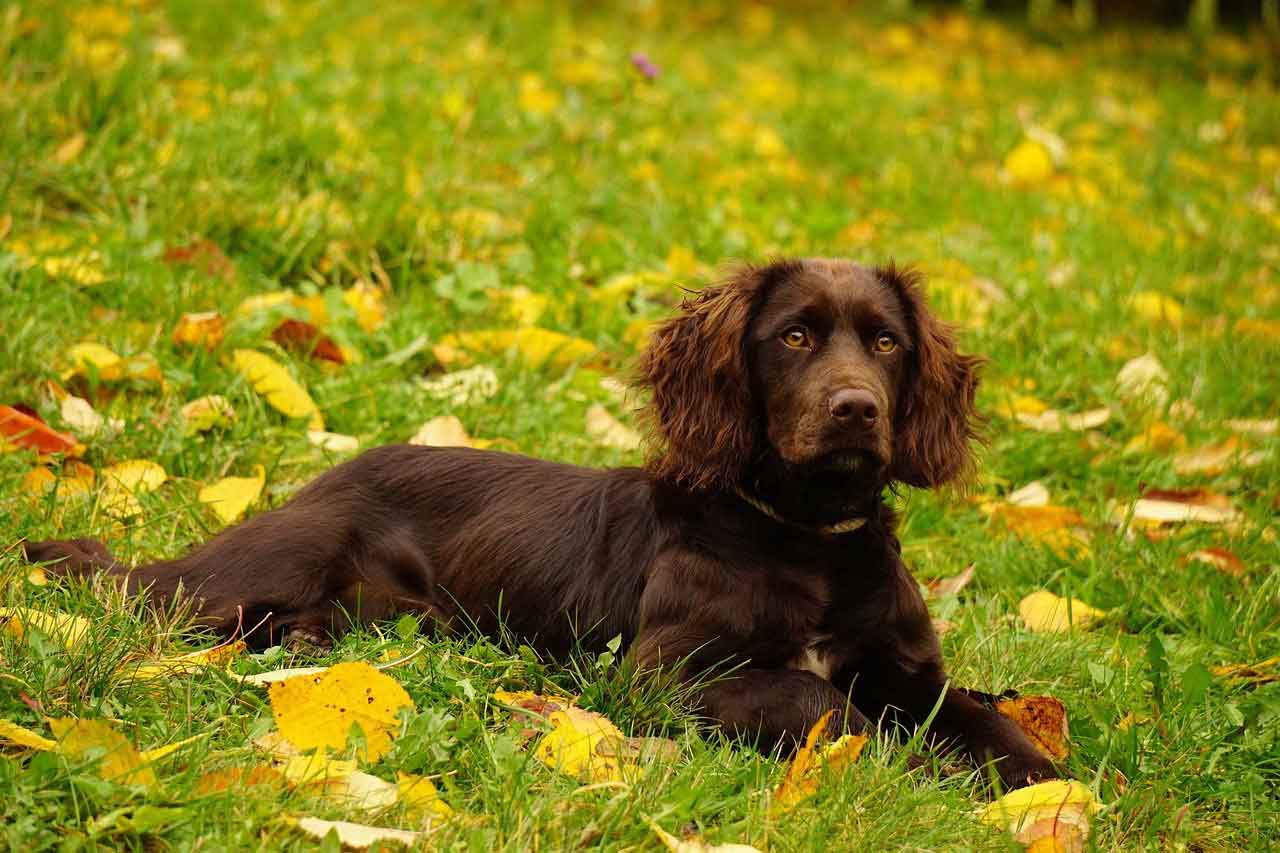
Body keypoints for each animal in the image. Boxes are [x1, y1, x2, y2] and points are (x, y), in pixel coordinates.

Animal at [22, 257, 1059, 783]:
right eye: (795, 336)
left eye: (886, 343)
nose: (856, 410)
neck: (805, 536)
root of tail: (324, 477)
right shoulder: (666, 676)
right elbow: (823, 703)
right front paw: (901, 763)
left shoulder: (909, 669)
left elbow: (983, 721)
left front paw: (1038, 787)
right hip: (268, 561)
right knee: (138, 596)